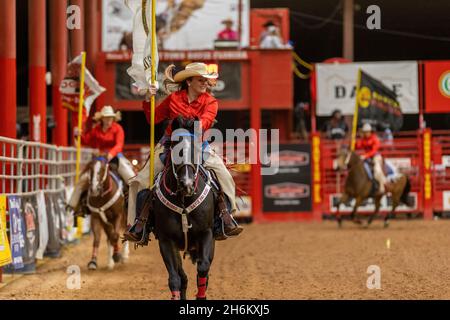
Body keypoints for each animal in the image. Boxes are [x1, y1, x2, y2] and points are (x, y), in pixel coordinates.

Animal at [153, 117, 216, 300]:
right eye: (175, 148)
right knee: (182, 276)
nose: (186, 183)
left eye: (195, 150)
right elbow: (174, 278)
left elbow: (203, 268)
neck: (184, 203)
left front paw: (201, 296)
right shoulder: (166, 240)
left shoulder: (206, 233)